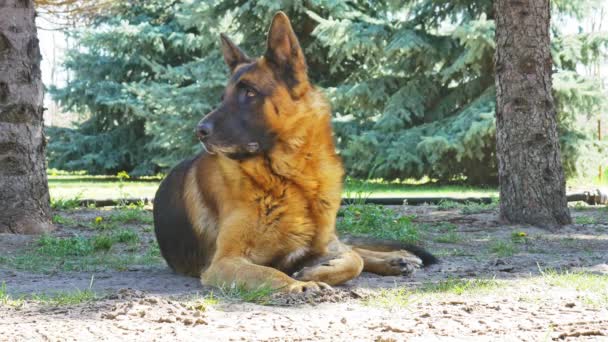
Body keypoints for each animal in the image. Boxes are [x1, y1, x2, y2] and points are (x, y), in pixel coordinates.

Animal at [154, 11, 434, 294]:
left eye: (249, 92)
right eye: (224, 97)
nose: (199, 131)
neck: (293, 179)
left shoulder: (321, 246)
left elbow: (354, 260)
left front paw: (317, 272)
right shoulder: (224, 262)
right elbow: (271, 273)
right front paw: (302, 285)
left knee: (353, 248)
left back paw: (397, 258)